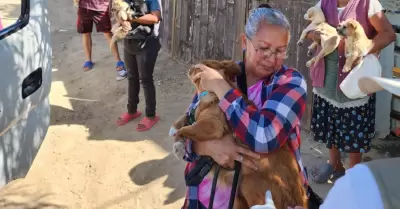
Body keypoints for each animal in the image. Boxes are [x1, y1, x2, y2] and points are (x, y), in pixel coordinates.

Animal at [170, 59, 308, 209]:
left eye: (202, 66)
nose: (192, 66)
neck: (210, 94)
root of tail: (300, 199)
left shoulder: (213, 124)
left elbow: (185, 129)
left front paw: (178, 146)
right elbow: (184, 120)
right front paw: (175, 131)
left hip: (249, 182)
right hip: (238, 196)